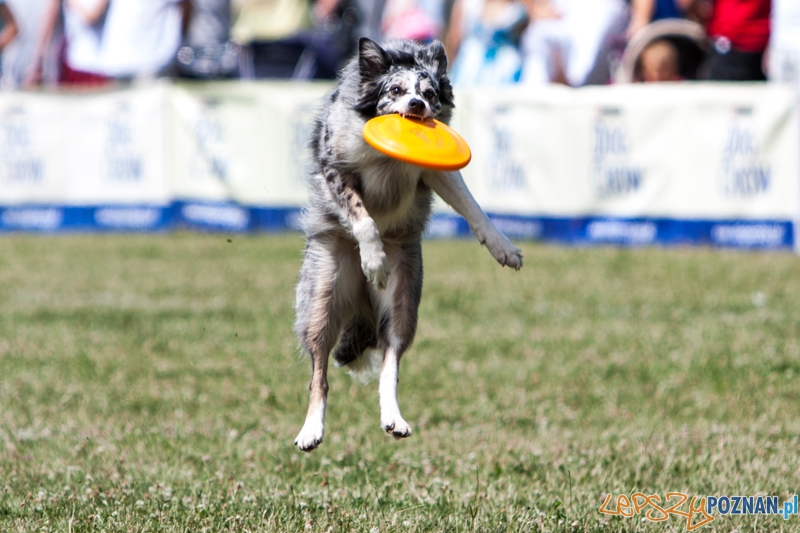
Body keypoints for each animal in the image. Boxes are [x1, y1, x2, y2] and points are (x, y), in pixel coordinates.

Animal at [290, 37, 520, 450]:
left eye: (429, 93)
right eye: (395, 91)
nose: (416, 105)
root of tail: (361, 299)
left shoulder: (435, 171)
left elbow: (471, 205)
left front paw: (503, 247)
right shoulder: (336, 167)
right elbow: (362, 216)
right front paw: (374, 260)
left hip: (404, 299)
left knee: (390, 362)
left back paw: (393, 418)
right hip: (321, 296)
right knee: (319, 373)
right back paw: (311, 430)